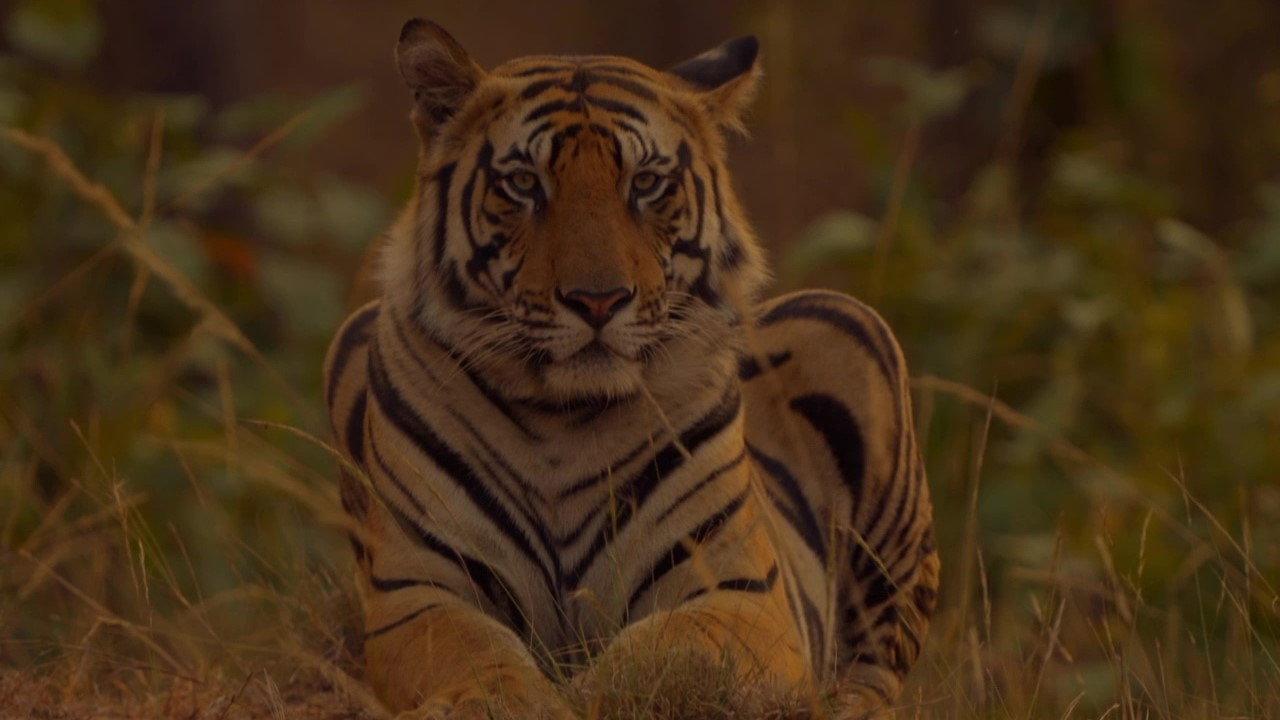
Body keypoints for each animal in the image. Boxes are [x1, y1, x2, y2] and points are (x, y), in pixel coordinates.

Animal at [323, 18, 939, 719]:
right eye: (524, 183)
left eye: (645, 183)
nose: (598, 300)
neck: (561, 419)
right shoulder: (417, 589)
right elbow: (476, 655)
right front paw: (512, 700)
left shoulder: (740, 590)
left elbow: (667, 650)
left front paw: (585, 693)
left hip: (850, 330)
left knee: (878, 671)